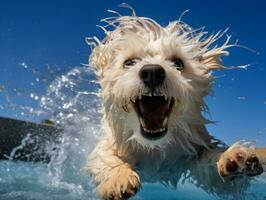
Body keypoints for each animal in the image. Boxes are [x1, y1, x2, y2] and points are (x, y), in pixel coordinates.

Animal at [84, 7, 264, 199]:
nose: (152, 72)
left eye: (178, 63)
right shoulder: (110, 142)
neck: (153, 147)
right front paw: (117, 177)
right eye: (129, 62)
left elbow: (209, 163)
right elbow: (103, 157)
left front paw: (233, 159)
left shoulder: (191, 151)